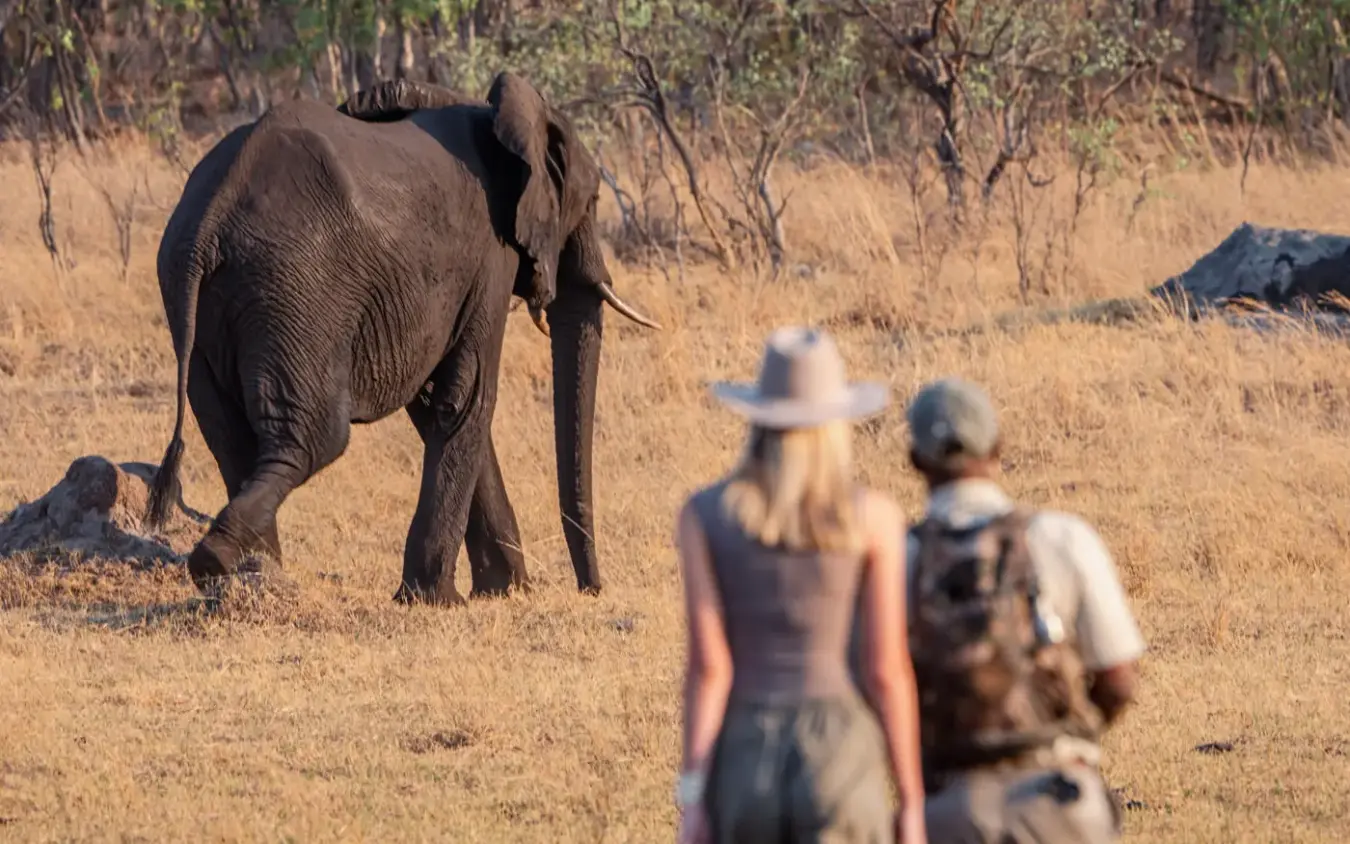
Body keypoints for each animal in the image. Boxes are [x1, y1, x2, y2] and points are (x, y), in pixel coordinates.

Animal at [143, 72, 661, 605]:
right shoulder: (490, 255)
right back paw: (219, 560)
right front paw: (441, 599)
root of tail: (212, 215)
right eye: (593, 202)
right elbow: (469, 394)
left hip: (199, 299)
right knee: (313, 439)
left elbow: (437, 402)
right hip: (297, 287)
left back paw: (254, 577)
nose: (591, 590)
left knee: (230, 438)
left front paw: (503, 591)